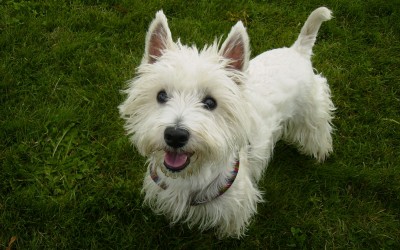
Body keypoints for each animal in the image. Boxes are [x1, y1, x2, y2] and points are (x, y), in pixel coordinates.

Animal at [118, 6, 334, 237]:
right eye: (161, 95)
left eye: (210, 102)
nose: (175, 135)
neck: (190, 175)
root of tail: (297, 50)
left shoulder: (234, 201)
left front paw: (229, 234)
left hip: (311, 109)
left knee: (319, 127)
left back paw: (320, 150)